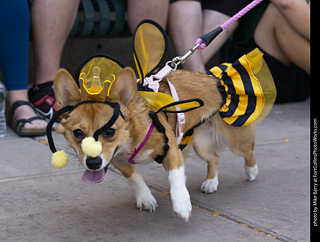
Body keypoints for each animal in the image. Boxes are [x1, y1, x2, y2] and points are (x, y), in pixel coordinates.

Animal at [54, 65, 260, 221]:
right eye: (78, 133)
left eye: (110, 131)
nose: (93, 163)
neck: (130, 140)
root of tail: (215, 80)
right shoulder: (119, 161)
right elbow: (134, 177)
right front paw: (145, 198)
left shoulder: (171, 150)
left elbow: (176, 177)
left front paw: (182, 204)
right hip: (201, 144)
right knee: (214, 158)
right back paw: (211, 182)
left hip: (236, 141)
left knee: (248, 152)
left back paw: (251, 171)